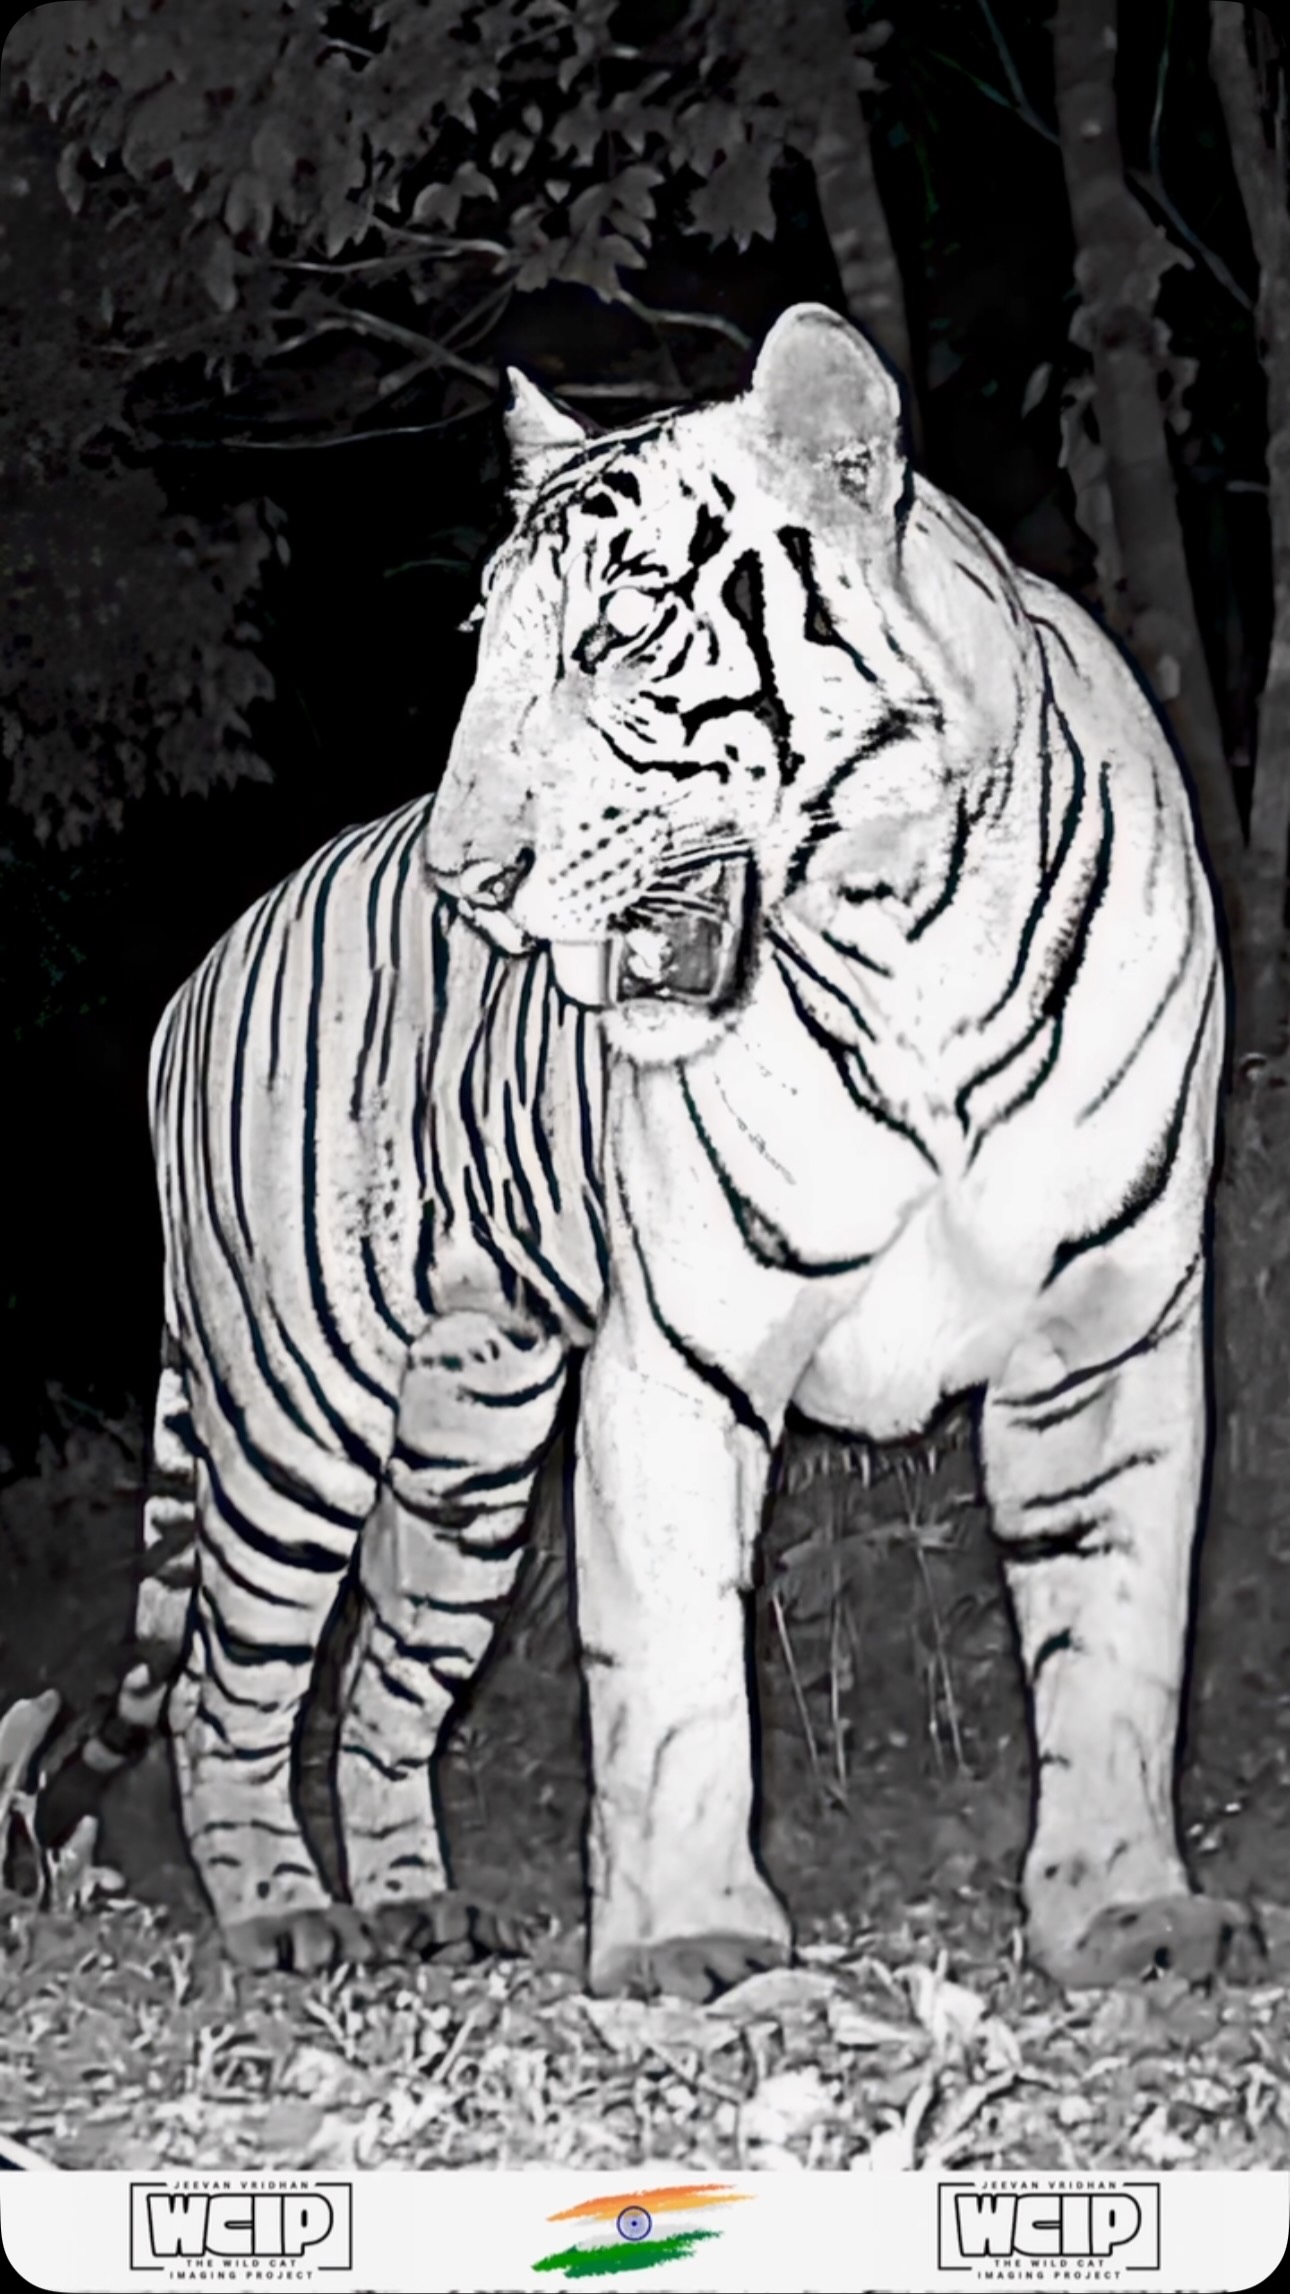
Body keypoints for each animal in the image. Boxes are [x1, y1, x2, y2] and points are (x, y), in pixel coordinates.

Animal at [69, 301, 1258, 1998]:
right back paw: (283, 1916)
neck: (910, 940)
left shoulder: (1106, 1329)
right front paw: (692, 1931)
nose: (465, 874)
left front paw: (1123, 1909)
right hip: (297, 1401)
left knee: (382, 1682)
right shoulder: (683, 1350)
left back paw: (416, 1905)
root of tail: (202, 965)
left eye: (617, 634)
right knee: (225, 1684)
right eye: (483, 645)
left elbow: (1114, 1643)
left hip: (469, 1445)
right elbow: (676, 1666)